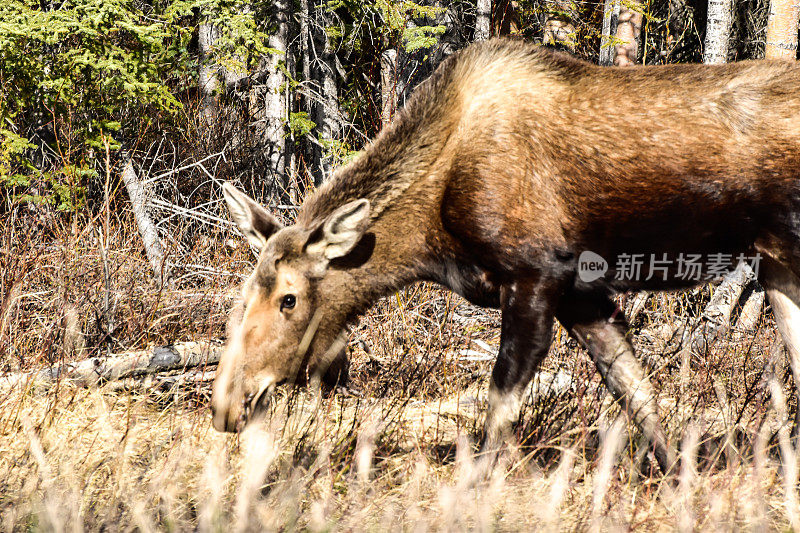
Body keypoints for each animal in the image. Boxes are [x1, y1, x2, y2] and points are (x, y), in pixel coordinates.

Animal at [211, 37, 800, 472]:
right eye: (244, 292)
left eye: (289, 299)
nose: (226, 405)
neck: (433, 235)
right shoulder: (583, 296)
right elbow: (636, 392)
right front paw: (680, 477)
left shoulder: (536, 275)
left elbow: (498, 407)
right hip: (777, 263)